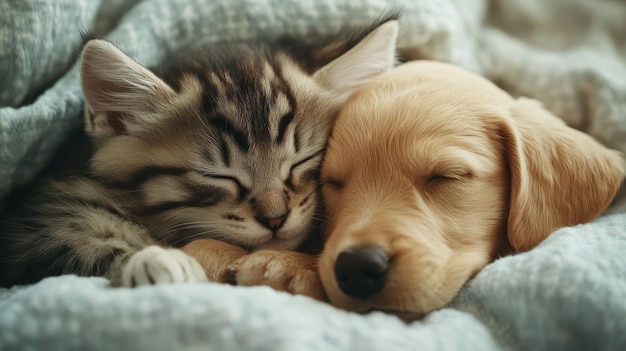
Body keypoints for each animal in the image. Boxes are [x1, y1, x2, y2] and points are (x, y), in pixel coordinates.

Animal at [0, 15, 398, 288]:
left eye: (303, 160)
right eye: (218, 176)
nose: (275, 219)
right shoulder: (36, 226)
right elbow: (81, 242)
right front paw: (157, 262)